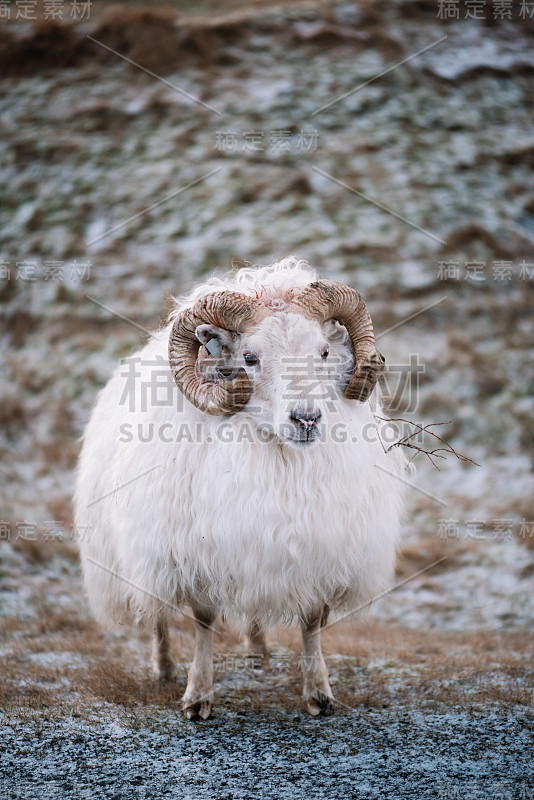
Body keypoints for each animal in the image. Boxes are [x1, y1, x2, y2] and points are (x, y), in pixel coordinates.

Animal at [75, 258, 408, 720]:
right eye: (249, 358)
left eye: (323, 352)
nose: (307, 419)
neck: (278, 460)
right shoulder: (195, 552)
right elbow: (202, 621)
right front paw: (198, 695)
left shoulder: (316, 550)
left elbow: (311, 622)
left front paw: (318, 692)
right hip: (143, 547)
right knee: (156, 612)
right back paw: (163, 667)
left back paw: (256, 648)